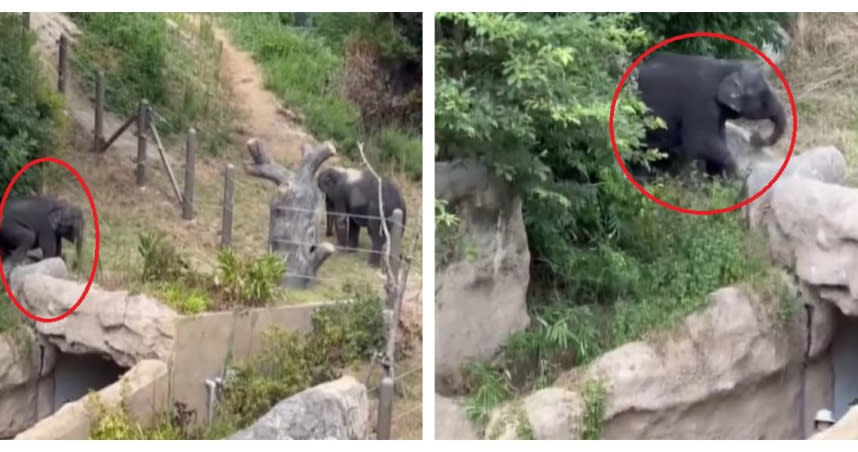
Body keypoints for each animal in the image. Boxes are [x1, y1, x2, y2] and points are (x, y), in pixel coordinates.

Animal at [632, 52, 784, 177]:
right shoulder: (700, 103)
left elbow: (718, 139)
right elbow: (701, 143)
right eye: (764, 95)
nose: (754, 137)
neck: (726, 67)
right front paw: (736, 177)